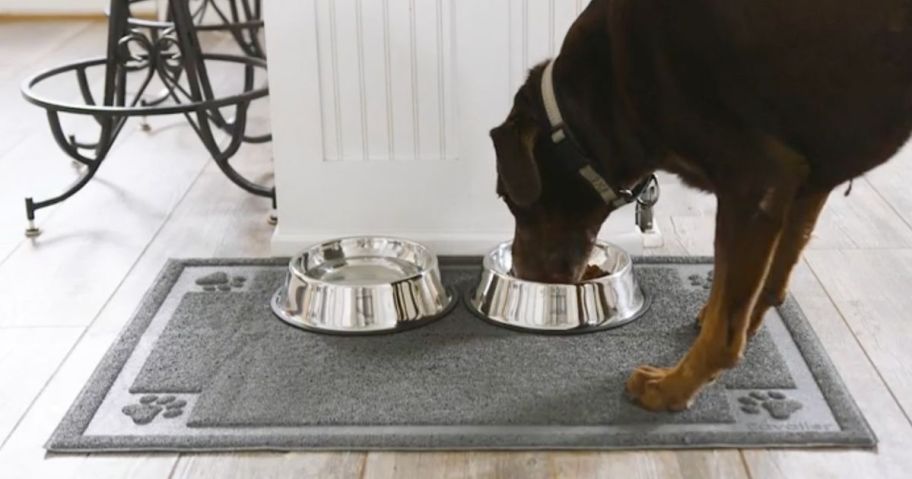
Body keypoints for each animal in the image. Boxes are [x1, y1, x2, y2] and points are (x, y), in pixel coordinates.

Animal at [492, 0, 912, 412]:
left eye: (508, 198)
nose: (522, 274)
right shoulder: (808, 176)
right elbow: (768, 283)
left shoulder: (755, 181)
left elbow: (724, 333)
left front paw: (670, 388)